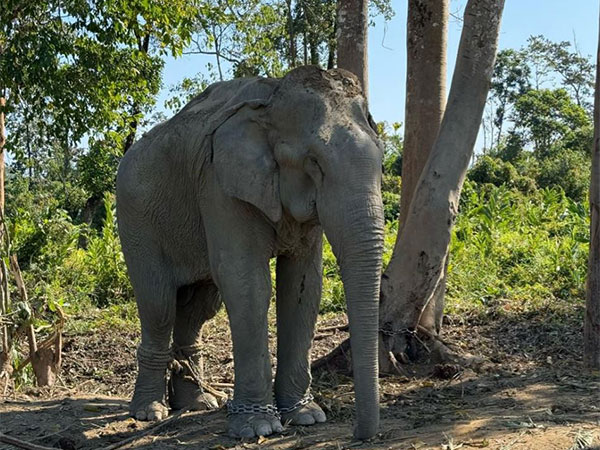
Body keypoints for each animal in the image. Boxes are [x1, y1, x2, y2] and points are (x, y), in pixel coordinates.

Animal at [115, 65, 386, 438]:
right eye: (314, 163)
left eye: (383, 159)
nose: (360, 434)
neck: (272, 98)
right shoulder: (219, 183)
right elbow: (247, 281)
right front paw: (260, 428)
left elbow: (304, 285)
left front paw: (306, 416)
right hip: (136, 219)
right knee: (159, 304)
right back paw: (149, 412)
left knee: (198, 307)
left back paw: (198, 403)